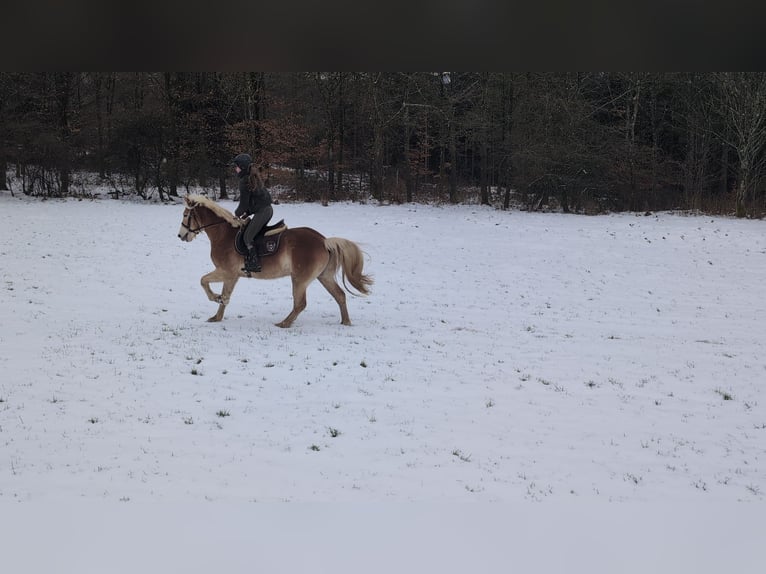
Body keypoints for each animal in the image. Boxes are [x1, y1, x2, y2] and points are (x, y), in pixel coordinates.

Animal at [177, 195, 372, 326]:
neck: (224, 234)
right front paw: (217, 315)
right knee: (340, 295)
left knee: (300, 303)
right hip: (324, 276)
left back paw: (284, 323)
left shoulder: (226, 272)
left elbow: (203, 281)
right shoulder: (232, 276)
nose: (181, 236)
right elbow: (225, 296)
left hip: (300, 279)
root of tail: (324, 240)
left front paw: (215, 297)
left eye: (186, 215)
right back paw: (346, 322)